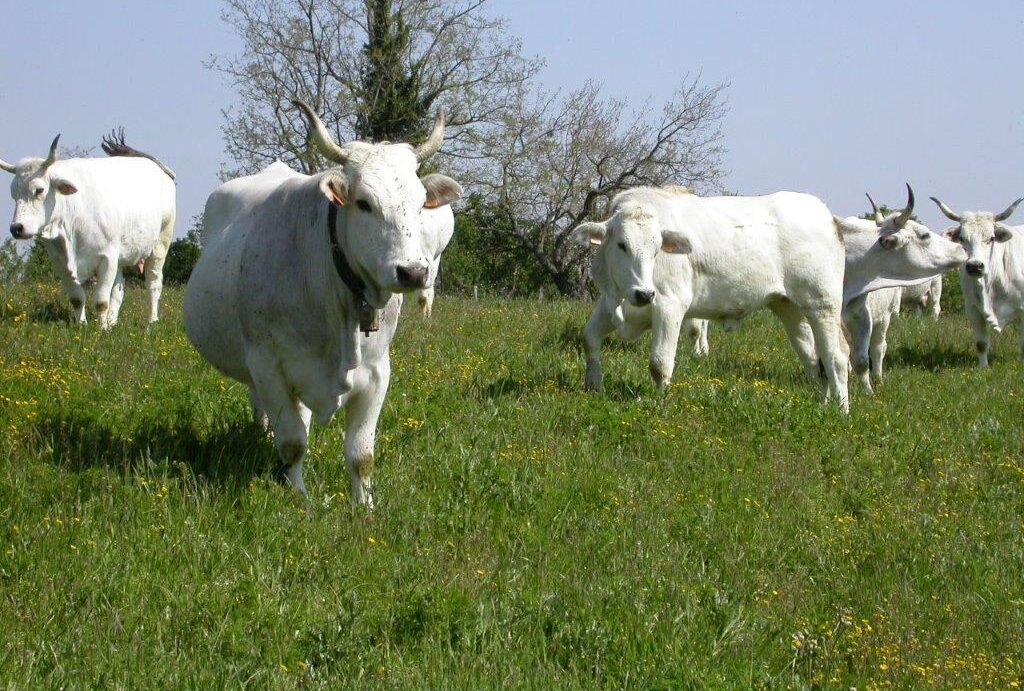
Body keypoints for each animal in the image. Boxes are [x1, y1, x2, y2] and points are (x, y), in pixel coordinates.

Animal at [1, 136, 176, 331]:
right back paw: (112, 321)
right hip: (121, 255)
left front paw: (102, 330)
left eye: (39, 190)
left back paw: (151, 321)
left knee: (153, 283)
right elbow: (77, 298)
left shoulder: (107, 257)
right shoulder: (60, 262)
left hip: (161, 243)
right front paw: (82, 325)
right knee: (119, 289)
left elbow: (101, 301)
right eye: (13, 193)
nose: (17, 228)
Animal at [185, 99, 464, 505]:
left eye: (418, 204)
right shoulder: (269, 367)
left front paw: (365, 506)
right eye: (364, 203)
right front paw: (299, 499)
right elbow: (293, 444)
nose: (412, 272)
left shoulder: (377, 374)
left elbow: (361, 455)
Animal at [577, 184, 847, 411]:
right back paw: (821, 404)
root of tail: (827, 215)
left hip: (822, 304)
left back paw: (840, 410)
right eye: (622, 244)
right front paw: (593, 385)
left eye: (657, 249)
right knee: (813, 360)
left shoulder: (669, 306)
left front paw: (659, 403)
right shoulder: (609, 304)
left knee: (836, 357)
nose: (644, 293)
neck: (623, 296)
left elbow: (660, 364)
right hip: (790, 307)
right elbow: (589, 338)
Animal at [831, 186, 966, 391]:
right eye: (924, 235)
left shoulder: (862, 314)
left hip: (890, 313)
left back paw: (877, 377)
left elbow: (862, 359)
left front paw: (868, 391)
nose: (960, 248)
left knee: (879, 347)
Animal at [929, 195, 1024, 368]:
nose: (974, 266)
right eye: (961, 238)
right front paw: (983, 367)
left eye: (991, 238)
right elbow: (981, 343)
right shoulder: (972, 309)